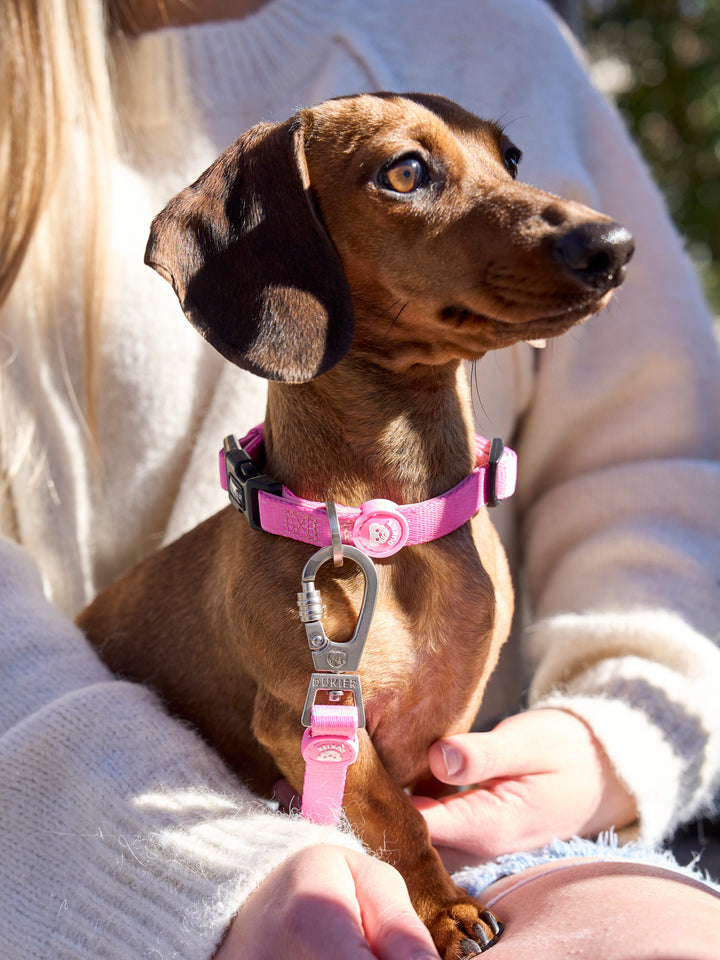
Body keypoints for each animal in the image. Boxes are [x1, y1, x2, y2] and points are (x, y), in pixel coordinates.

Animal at [76, 92, 632, 960]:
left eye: (509, 158)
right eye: (404, 172)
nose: (612, 245)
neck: (394, 525)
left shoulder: (448, 725)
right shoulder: (307, 720)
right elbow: (396, 822)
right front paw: (445, 910)